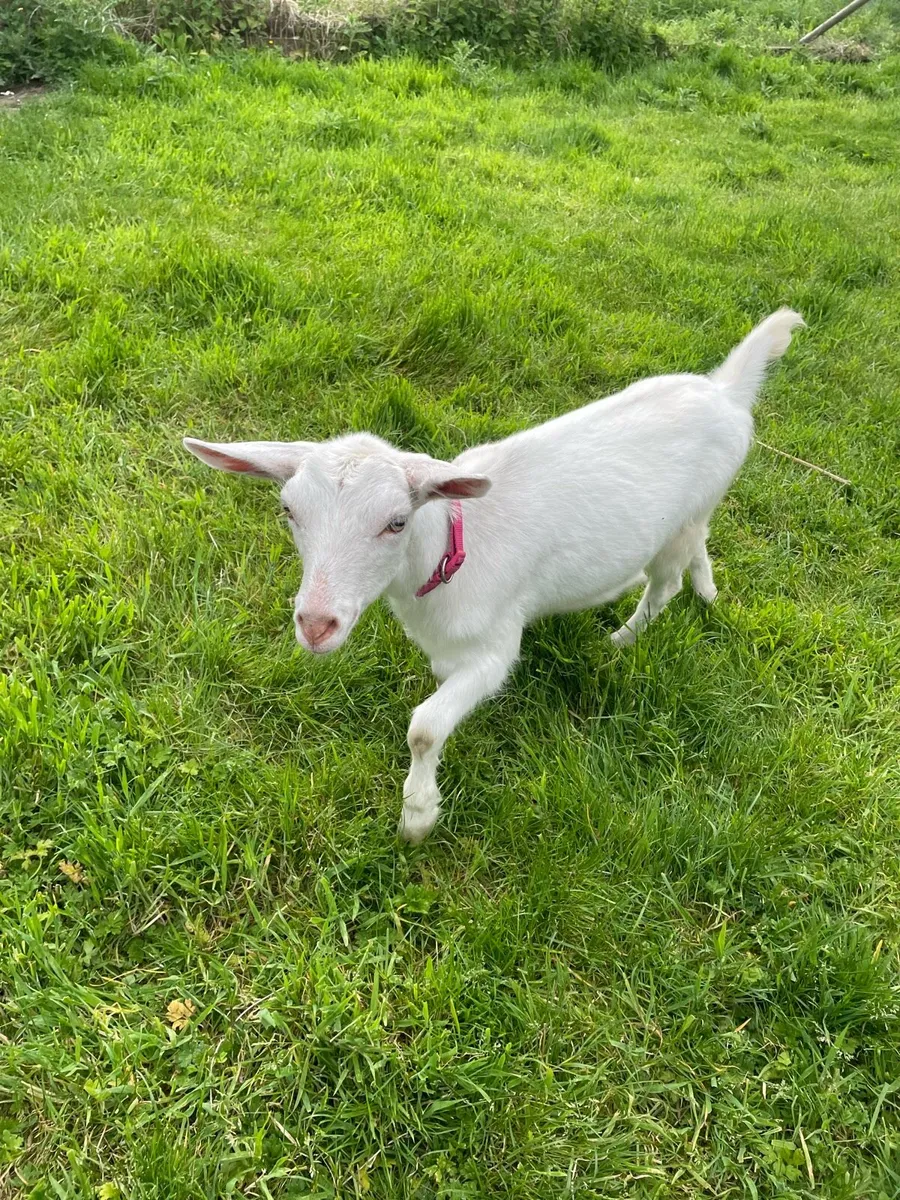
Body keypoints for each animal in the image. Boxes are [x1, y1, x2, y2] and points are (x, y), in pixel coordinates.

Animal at [184, 308, 804, 842]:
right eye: (289, 510)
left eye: (396, 521)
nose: (316, 625)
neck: (449, 553)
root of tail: (725, 390)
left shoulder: (496, 647)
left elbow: (424, 727)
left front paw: (418, 817)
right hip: (697, 512)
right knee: (700, 546)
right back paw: (708, 591)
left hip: (684, 516)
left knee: (665, 581)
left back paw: (621, 641)